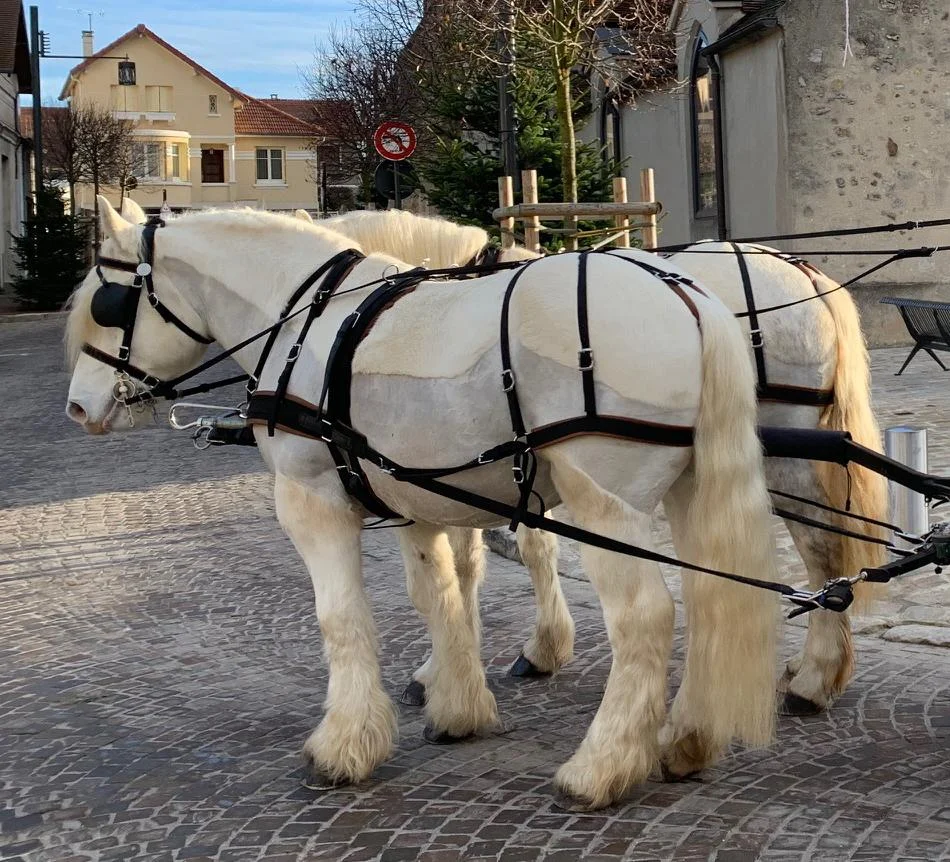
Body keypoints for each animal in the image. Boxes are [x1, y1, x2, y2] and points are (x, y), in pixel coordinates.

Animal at [65, 196, 779, 810]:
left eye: (106, 302)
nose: (78, 408)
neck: (305, 323)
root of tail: (686, 294)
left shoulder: (311, 500)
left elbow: (342, 617)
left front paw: (344, 745)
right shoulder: (417, 496)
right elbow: (441, 594)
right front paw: (458, 705)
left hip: (605, 502)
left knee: (645, 618)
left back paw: (601, 768)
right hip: (687, 491)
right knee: (710, 599)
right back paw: (688, 739)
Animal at [312, 208, 887, 716]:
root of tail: (803, 270)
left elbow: (475, 563)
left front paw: (452, 670)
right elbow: (505, 556)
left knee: (821, 548)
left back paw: (814, 679)